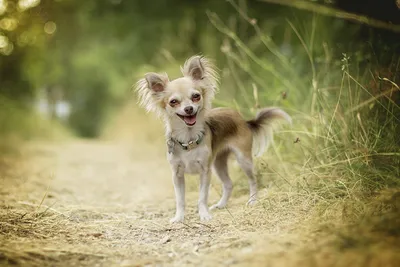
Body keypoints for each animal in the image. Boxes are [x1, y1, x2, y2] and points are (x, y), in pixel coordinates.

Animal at [136, 55, 290, 223]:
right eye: (173, 102)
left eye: (196, 96)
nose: (188, 108)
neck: (189, 138)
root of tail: (243, 120)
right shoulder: (177, 175)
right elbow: (180, 199)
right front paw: (179, 217)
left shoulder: (205, 171)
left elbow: (202, 197)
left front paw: (204, 215)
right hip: (218, 164)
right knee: (228, 184)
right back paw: (221, 205)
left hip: (243, 160)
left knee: (252, 180)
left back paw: (253, 200)